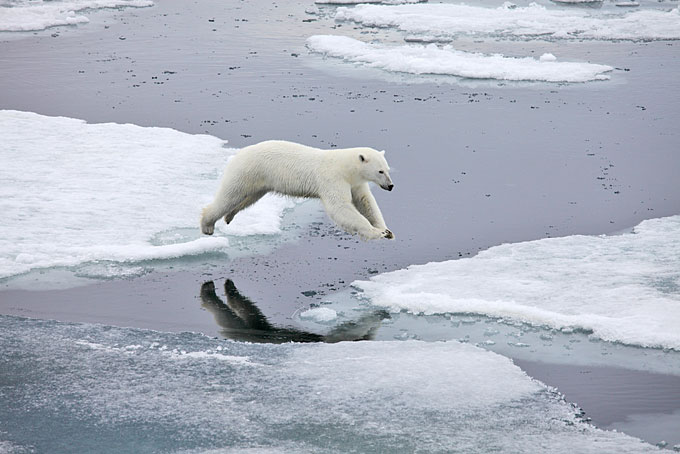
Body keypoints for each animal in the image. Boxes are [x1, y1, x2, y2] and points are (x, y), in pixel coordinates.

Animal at [200, 140, 394, 240]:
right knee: (229, 196)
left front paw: (386, 230)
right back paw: (207, 225)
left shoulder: (355, 183)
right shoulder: (332, 179)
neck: (345, 167)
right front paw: (375, 232)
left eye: (388, 169)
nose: (391, 186)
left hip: (259, 181)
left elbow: (365, 202)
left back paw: (229, 216)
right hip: (247, 171)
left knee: (248, 198)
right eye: (380, 171)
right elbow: (340, 207)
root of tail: (238, 154)